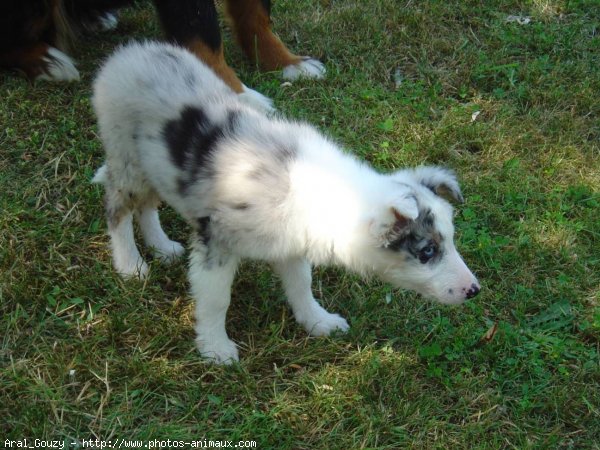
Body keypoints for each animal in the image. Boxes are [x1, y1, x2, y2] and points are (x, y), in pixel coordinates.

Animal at [91, 41, 480, 366]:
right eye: (427, 252)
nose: (474, 290)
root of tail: (126, 53)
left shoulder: (291, 243)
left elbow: (301, 285)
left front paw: (318, 322)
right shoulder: (216, 243)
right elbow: (216, 299)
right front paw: (216, 349)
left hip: (153, 166)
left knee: (147, 205)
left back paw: (161, 246)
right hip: (127, 159)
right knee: (117, 209)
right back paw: (130, 264)